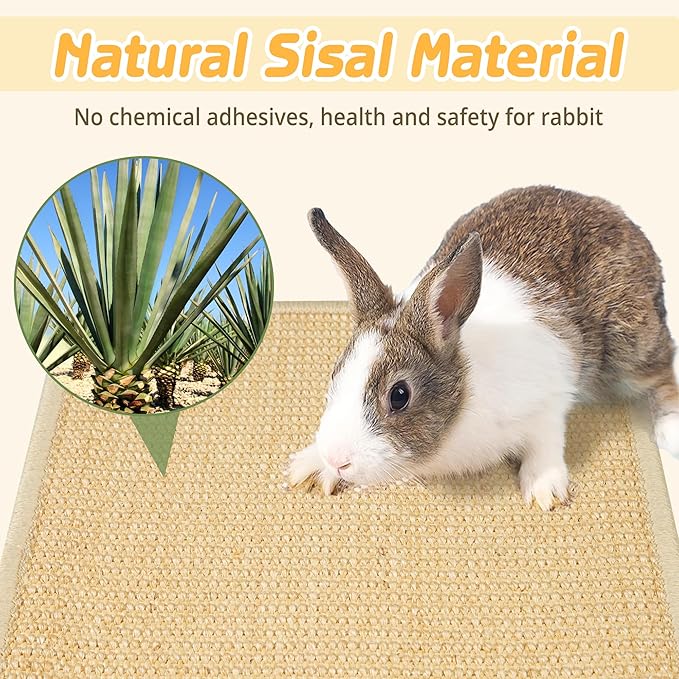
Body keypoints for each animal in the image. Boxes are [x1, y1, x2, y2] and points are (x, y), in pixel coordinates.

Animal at [287, 186, 679, 509]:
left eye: (399, 395)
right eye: (336, 374)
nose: (338, 459)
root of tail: (621, 218)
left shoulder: (549, 398)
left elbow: (548, 440)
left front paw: (544, 490)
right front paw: (308, 468)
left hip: (628, 341)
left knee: (662, 371)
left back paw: (669, 430)